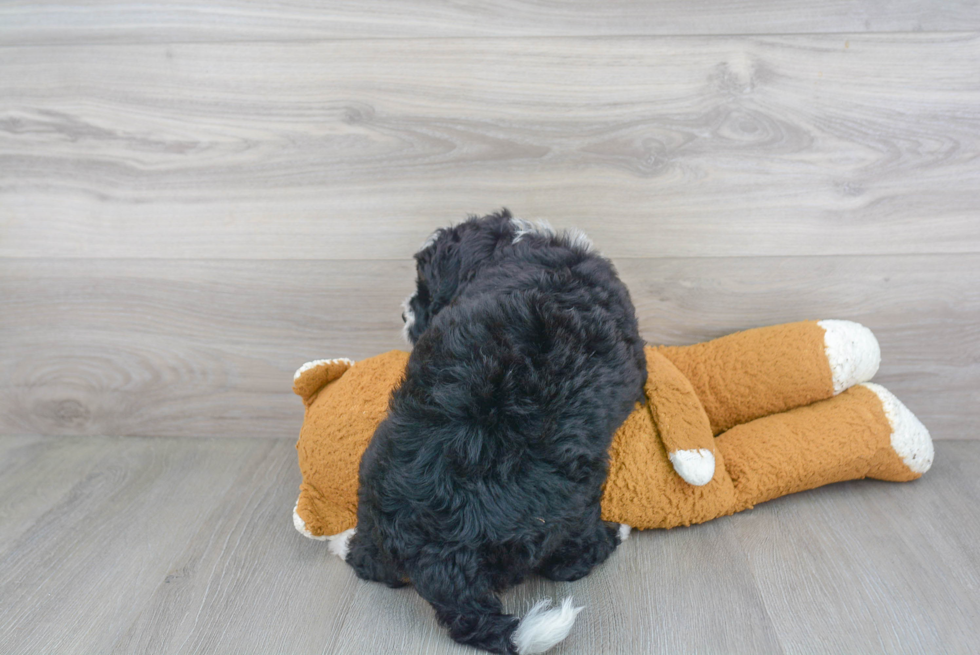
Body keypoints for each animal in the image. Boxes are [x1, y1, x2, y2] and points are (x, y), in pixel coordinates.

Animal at [340, 211, 648, 655]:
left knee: (371, 563)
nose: (404, 314)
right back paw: (614, 533)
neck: (514, 246)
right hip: (573, 500)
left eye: (424, 292)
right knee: (570, 561)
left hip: (373, 472)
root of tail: (441, 558)